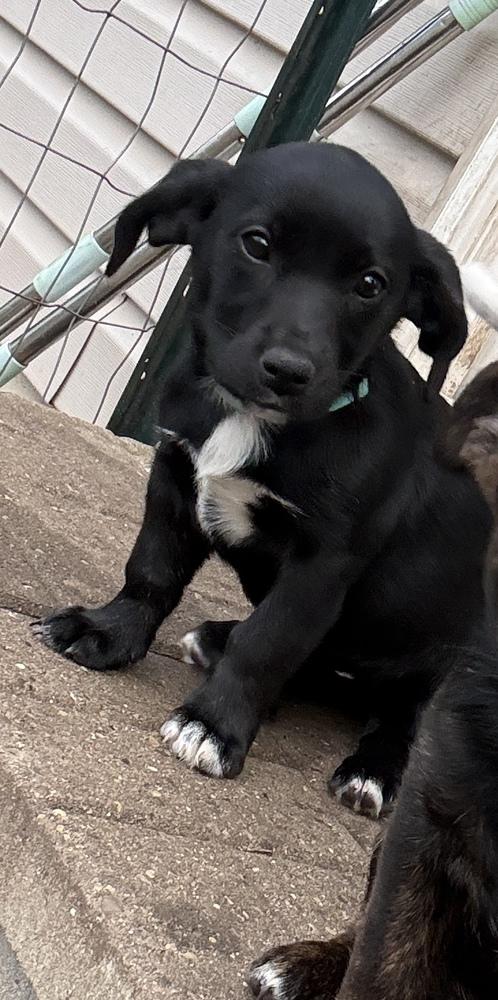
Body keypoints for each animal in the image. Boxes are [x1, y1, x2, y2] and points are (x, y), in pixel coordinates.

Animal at [33, 142, 496, 818]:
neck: (254, 419)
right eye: (256, 245)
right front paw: (107, 633)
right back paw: (216, 639)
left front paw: (214, 725)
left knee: (407, 713)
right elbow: (150, 572)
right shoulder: (175, 478)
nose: (290, 371)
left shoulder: (322, 562)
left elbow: (269, 642)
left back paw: (373, 770)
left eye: (370, 284)